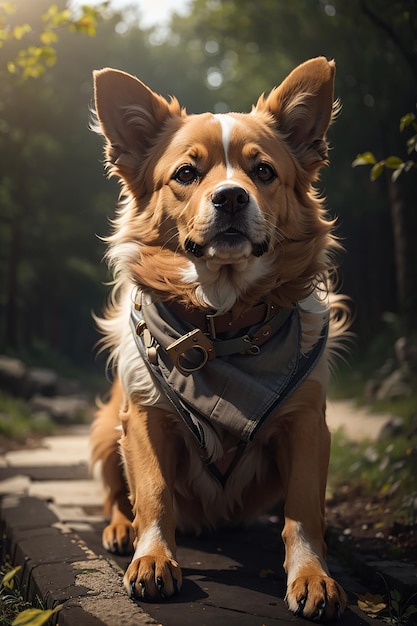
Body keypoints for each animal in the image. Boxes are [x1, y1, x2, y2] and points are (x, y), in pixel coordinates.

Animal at [90, 57, 348, 620]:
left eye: (263, 171)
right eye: (186, 174)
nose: (230, 196)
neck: (224, 326)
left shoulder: (308, 423)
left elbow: (303, 509)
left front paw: (312, 574)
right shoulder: (144, 417)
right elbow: (154, 494)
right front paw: (152, 559)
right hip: (105, 427)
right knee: (116, 495)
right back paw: (120, 530)